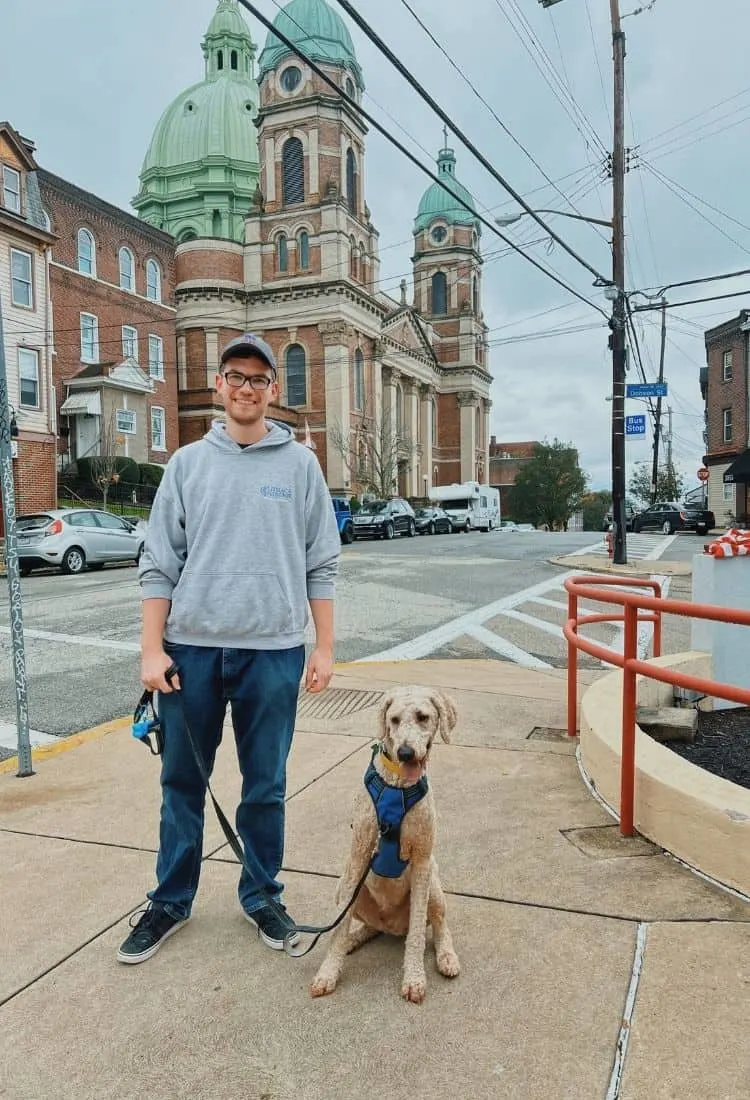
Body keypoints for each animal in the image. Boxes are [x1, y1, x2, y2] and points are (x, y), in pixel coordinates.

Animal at [307, 686, 459, 1007]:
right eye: (394, 719)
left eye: (423, 717)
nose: (405, 752)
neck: (397, 786)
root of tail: (392, 926)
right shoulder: (358, 854)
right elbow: (339, 928)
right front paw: (328, 972)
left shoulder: (423, 861)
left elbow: (418, 932)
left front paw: (414, 979)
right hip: (344, 886)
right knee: (365, 926)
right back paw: (353, 940)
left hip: (434, 885)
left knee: (439, 924)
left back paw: (447, 956)